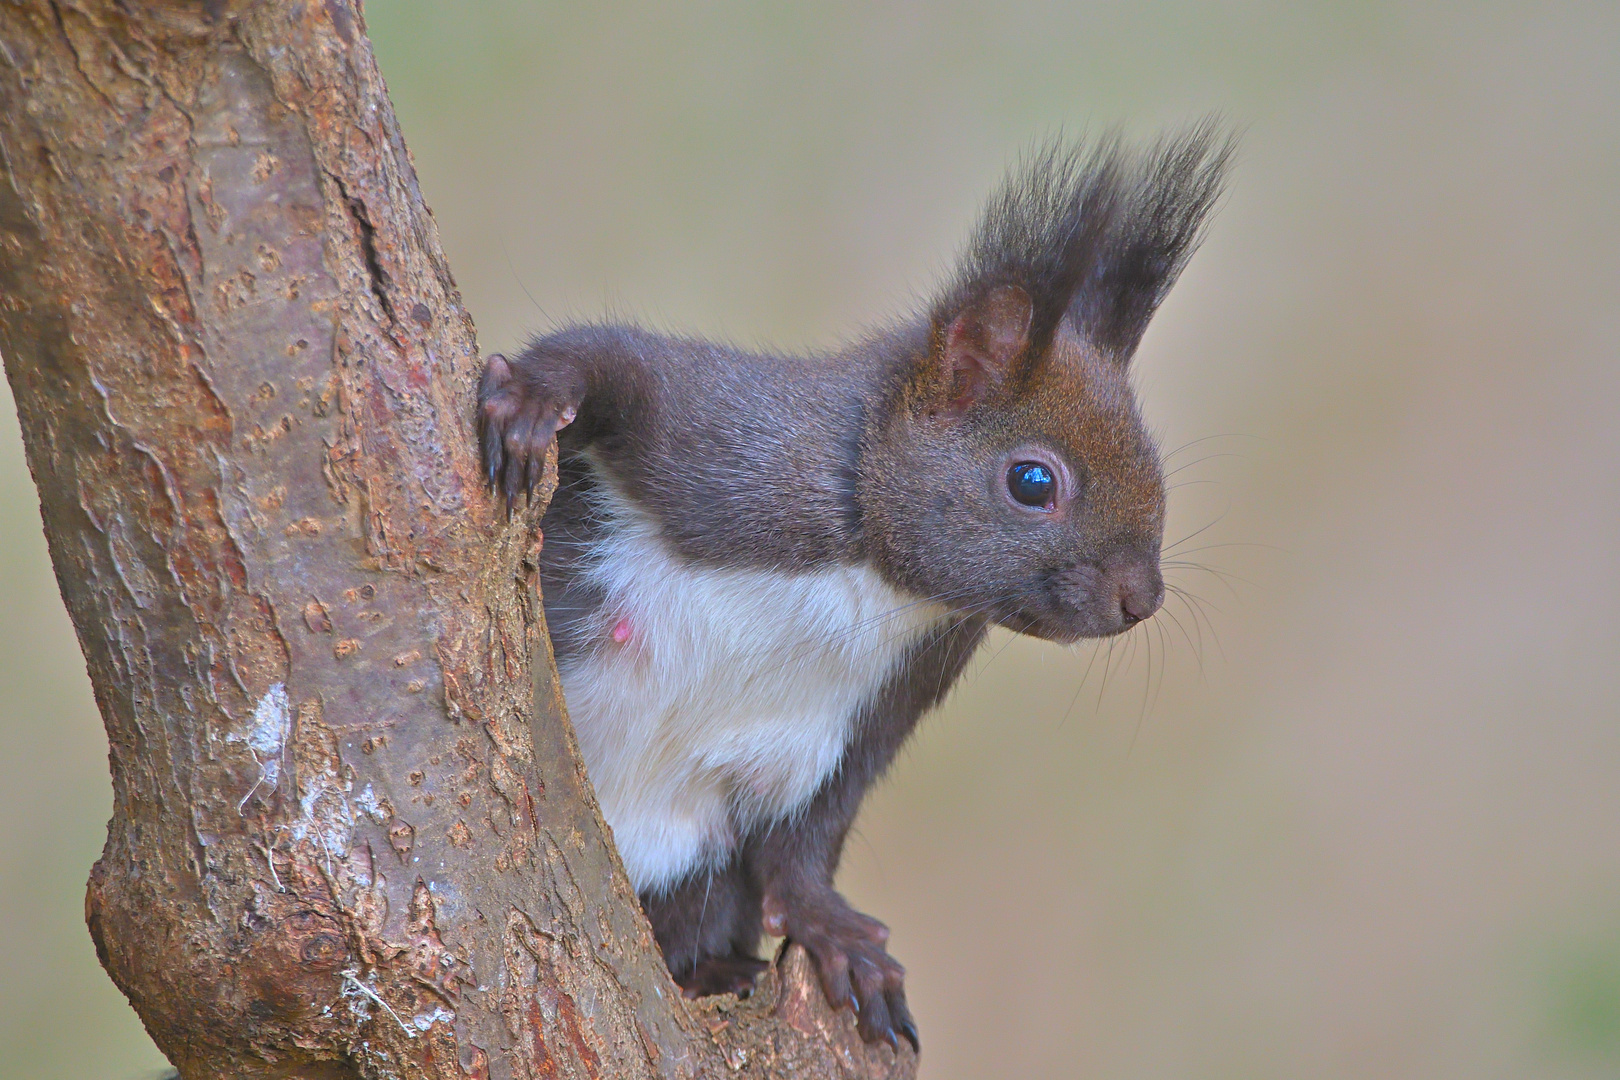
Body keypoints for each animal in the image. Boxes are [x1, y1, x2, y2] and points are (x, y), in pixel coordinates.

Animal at [473, 124, 1231, 1049]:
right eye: (1033, 482)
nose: (1140, 598)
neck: (874, 575)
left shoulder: (883, 701)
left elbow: (808, 839)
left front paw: (837, 937)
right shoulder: (727, 438)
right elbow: (613, 359)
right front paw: (534, 395)